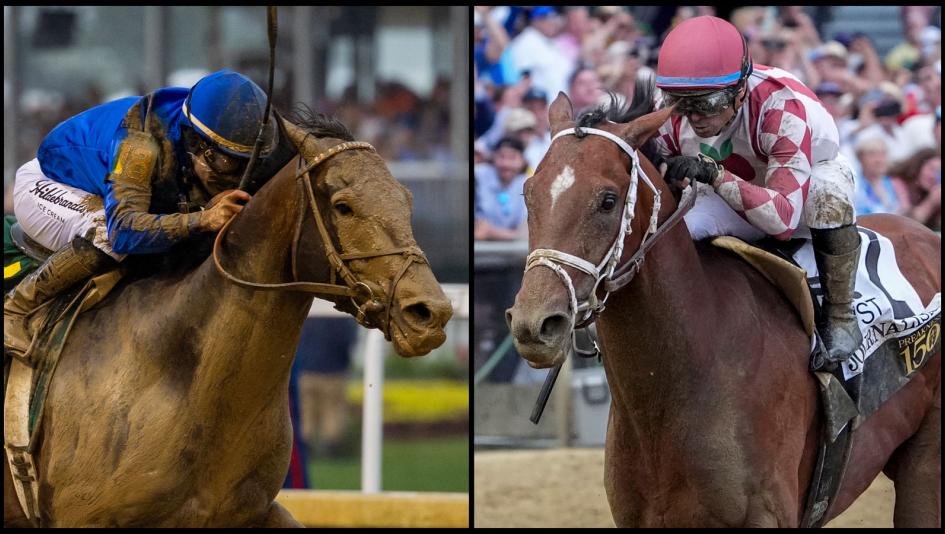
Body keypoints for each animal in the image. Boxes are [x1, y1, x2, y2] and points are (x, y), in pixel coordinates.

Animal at [506, 91, 940, 527]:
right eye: (529, 193)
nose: (535, 324)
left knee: (825, 200)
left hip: (923, 471)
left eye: (608, 201)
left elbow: (783, 206)